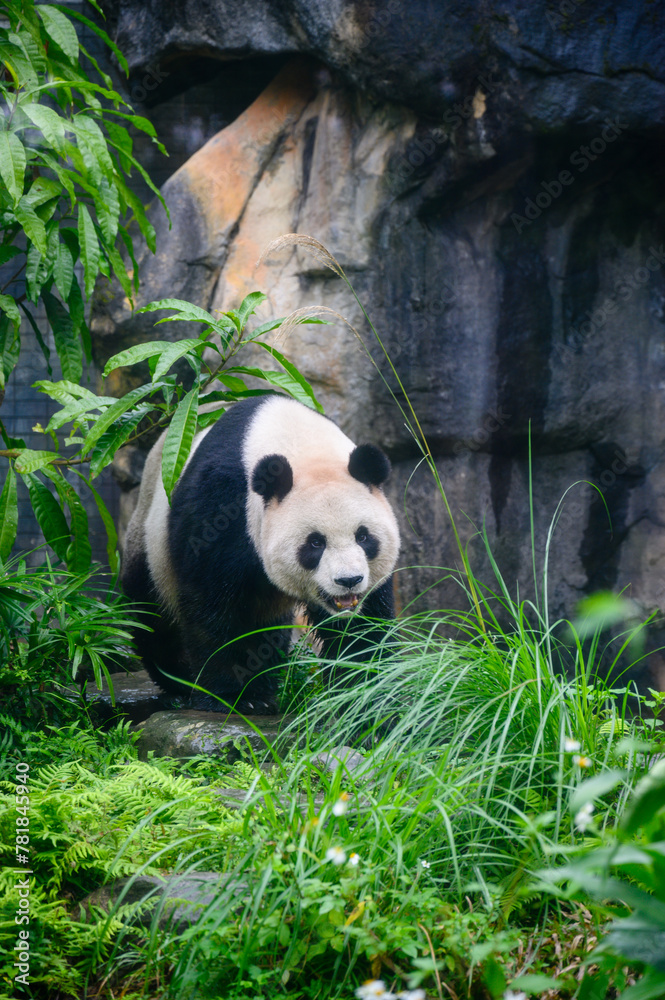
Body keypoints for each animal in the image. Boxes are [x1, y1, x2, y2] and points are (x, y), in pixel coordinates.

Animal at [121, 393, 400, 713]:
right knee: (153, 612)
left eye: (363, 536)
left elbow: (364, 625)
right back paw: (180, 682)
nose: (348, 581)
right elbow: (212, 605)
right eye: (315, 543)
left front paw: (368, 695)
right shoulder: (222, 505)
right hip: (151, 539)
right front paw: (230, 697)